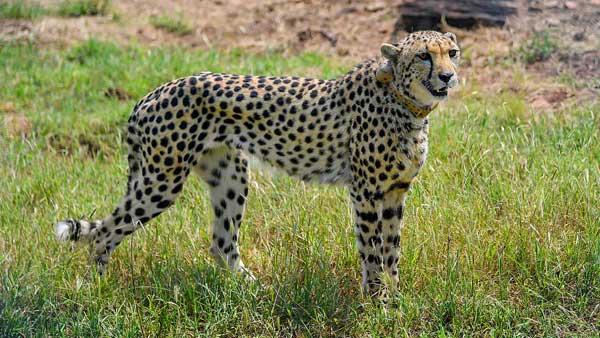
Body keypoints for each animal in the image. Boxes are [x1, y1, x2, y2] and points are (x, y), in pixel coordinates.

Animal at [55, 30, 460, 298]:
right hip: (161, 181)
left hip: (229, 175)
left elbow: (392, 251)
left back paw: (254, 290)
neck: (406, 103)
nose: (448, 75)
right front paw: (378, 302)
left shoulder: (395, 192)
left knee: (222, 243)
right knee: (106, 232)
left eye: (452, 52)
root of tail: (152, 93)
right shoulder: (365, 192)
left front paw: (396, 301)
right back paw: (96, 289)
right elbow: (372, 252)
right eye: (424, 56)